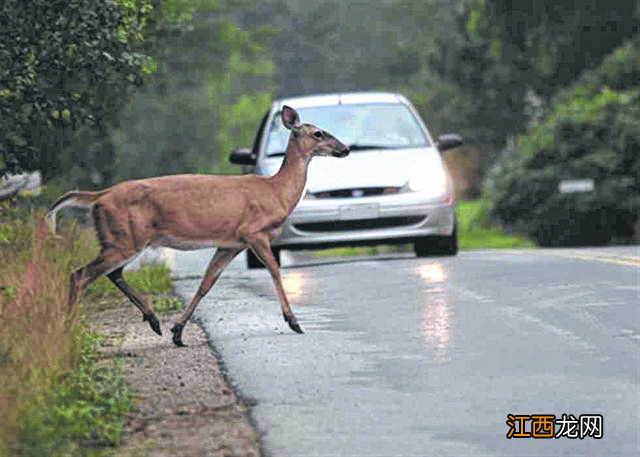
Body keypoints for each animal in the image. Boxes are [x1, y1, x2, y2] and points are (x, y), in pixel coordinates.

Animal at [46, 104, 350, 346]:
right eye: (318, 133)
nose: (345, 149)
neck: (276, 192)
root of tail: (99, 196)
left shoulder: (230, 244)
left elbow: (207, 282)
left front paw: (178, 332)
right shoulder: (254, 232)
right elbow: (275, 270)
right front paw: (294, 322)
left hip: (121, 239)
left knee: (112, 273)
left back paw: (153, 320)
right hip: (125, 238)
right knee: (80, 275)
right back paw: (68, 331)